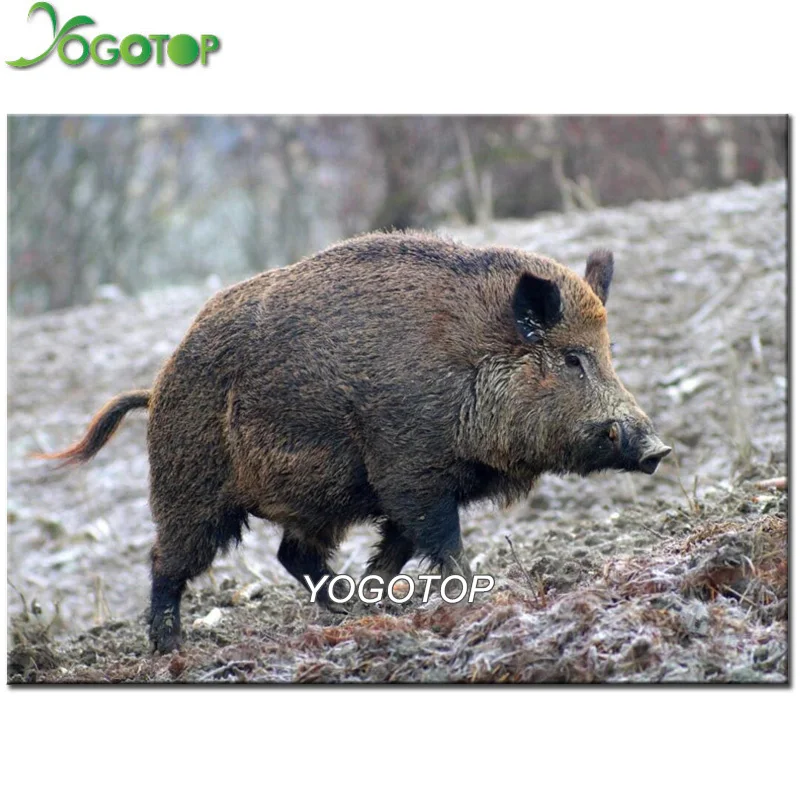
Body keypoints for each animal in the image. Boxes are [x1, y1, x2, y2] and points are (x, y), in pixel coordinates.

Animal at [45, 232, 670, 652]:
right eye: (573, 359)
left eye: (609, 354)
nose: (657, 450)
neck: (469, 370)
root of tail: (155, 388)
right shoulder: (411, 472)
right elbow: (443, 544)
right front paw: (476, 599)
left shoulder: (407, 489)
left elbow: (396, 550)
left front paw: (382, 603)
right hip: (190, 490)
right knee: (166, 561)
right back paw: (169, 648)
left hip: (313, 503)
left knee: (292, 554)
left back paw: (342, 612)